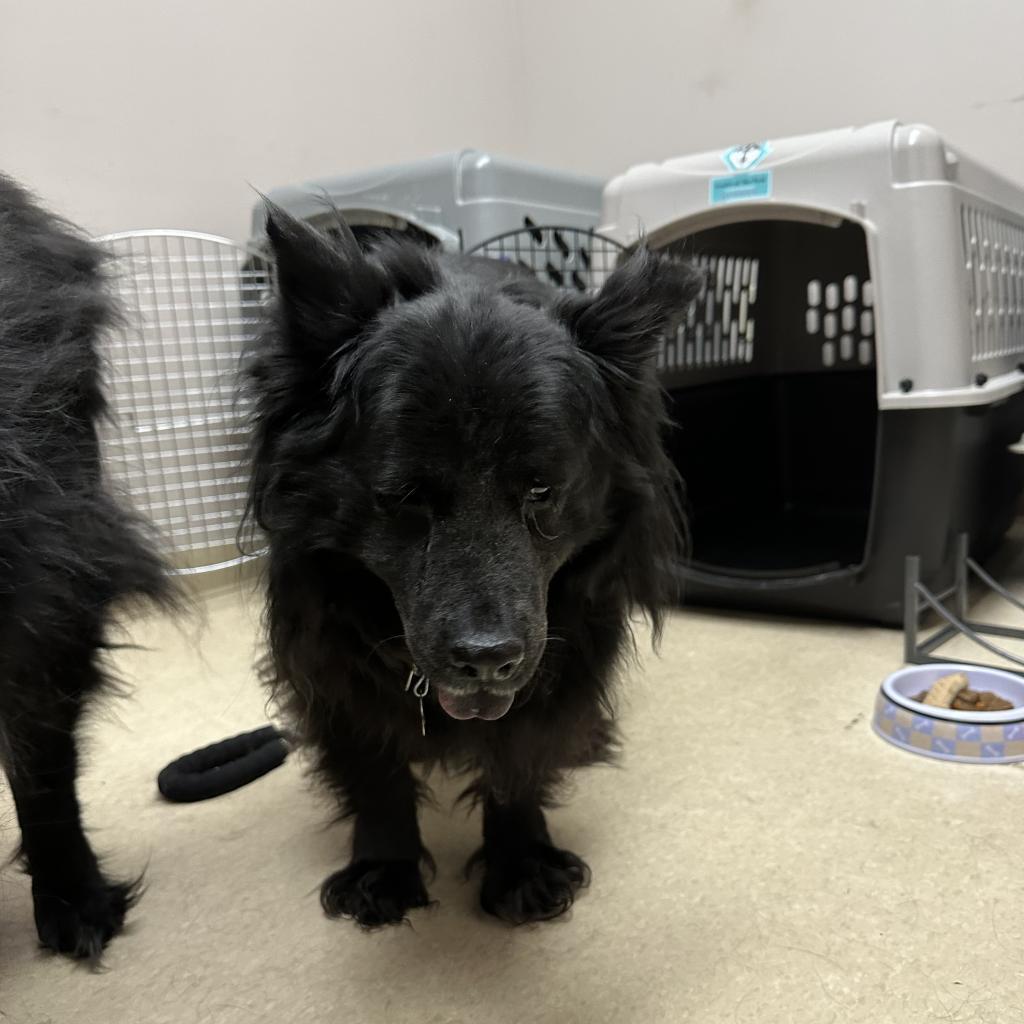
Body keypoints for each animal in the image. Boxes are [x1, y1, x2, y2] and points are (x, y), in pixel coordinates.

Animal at [247, 209, 700, 929]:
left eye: (542, 490)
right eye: (403, 495)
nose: (487, 659)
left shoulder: (561, 654)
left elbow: (520, 759)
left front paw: (521, 865)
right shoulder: (331, 663)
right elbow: (374, 769)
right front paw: (384, 868)